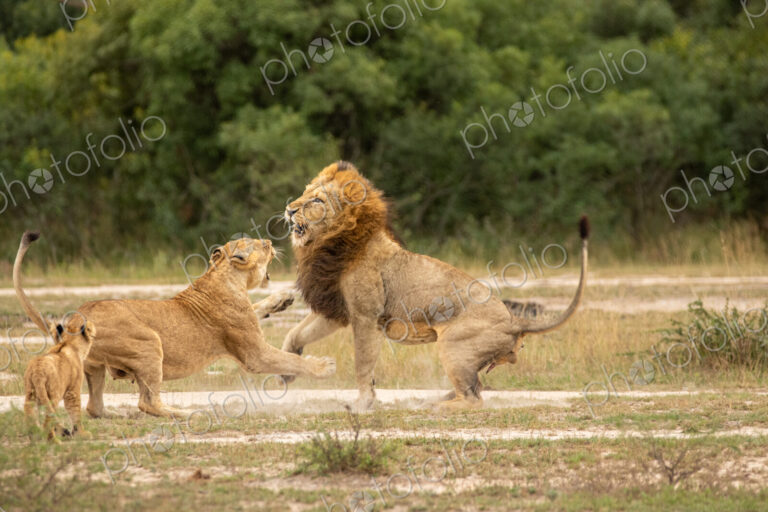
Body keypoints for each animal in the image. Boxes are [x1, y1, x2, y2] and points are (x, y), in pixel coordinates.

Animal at [14, 231, 335, 418]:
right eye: (261, 245)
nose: (271, 243)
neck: (225, 277)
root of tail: (77, 315)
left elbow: (260, 309)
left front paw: (282, 299)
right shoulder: (253, 354)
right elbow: (290, 360)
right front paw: (323, 367)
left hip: (94, 366)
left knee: (95, 406)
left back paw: (117, 416)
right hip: (150, 343)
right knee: (147, 403)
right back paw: (190, 412)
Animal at [280, 161, 588, 411]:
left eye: (316, 200)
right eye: (305, 192)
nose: (289, 209)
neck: (328, 244)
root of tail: (514, 320)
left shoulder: (365, 316)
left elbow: (362, 363)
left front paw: (363, 403)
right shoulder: (337, 309)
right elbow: (296, 333)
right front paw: (288, 369)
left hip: (453, 345)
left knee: (474, 398)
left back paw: (433, 406)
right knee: (475, 389)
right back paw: (435, 398)